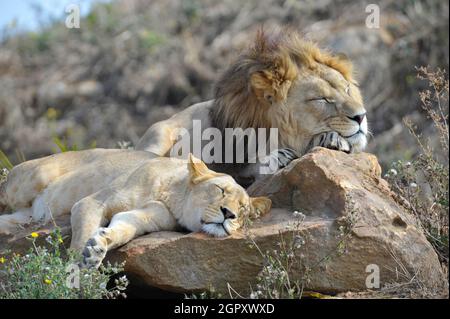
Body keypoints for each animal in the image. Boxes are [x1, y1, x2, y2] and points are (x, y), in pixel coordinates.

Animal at [0, 150, 270, 268]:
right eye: (220, 190)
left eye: (243, 209)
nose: (229, 214)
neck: (170, 196)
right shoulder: (92, 202)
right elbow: (78, 245)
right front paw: (77, 273)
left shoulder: (146, 217)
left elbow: (122, 230)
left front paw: (98, 247)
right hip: (35, 177)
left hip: (23, 217)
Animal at [138, 30, 370, 182]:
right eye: (322, 99)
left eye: (347, 89)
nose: (361, 116)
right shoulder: (227, 166)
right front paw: (277, 157)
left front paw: (332, 140)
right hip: (158, 136)